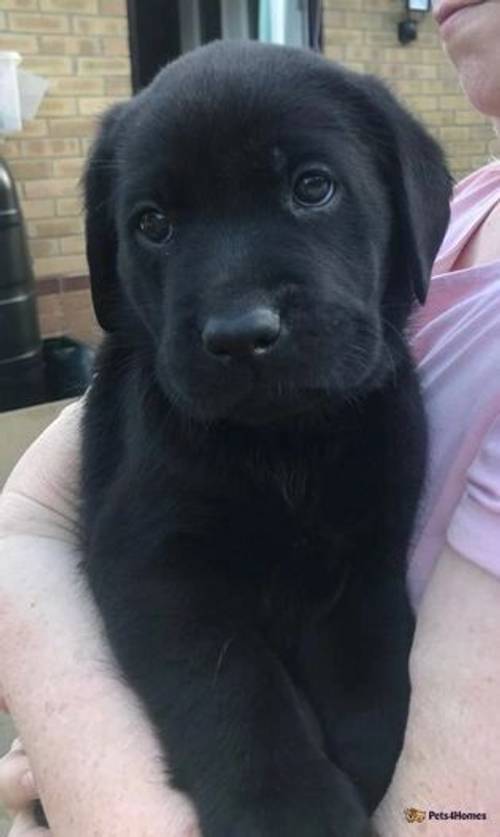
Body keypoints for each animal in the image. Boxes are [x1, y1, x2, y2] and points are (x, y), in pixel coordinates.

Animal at [66, 42, 454, 836]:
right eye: (153, 224)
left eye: (312, 187)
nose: (241, 335)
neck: (285, 445)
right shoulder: (154, 564)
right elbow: (236, 692)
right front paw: (294, 810)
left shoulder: (370, 553)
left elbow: (371, 670)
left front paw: (363, 769)